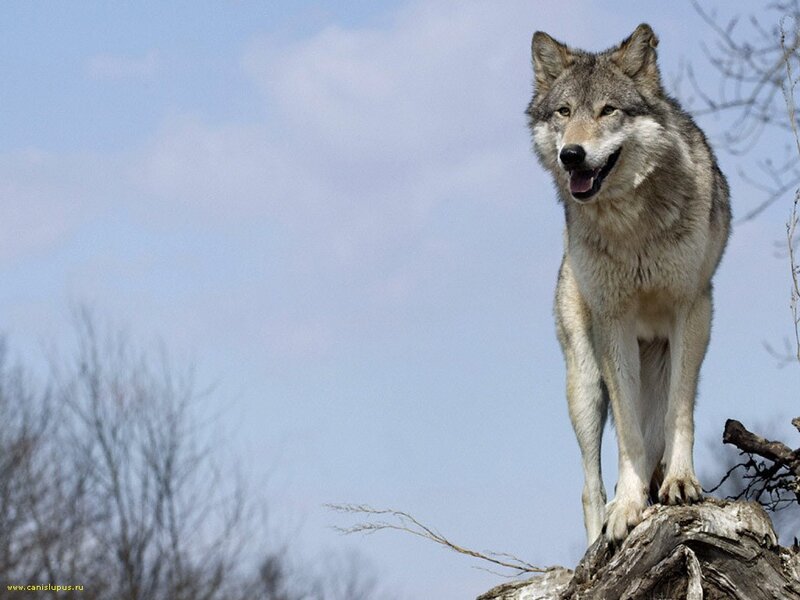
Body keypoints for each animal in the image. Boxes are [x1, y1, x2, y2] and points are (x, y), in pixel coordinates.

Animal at [526, 24, 731, 544]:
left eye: (607, 110)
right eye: (564, 112)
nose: (571, 154)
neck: (631, 223)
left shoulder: (691, 309)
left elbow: (679, 412)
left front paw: (680, 483)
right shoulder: (613, 322)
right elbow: (629, 436)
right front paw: (629, 507)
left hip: (658, 357)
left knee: (658, 424)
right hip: (584, 380)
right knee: (590, 485)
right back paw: (603, 523)